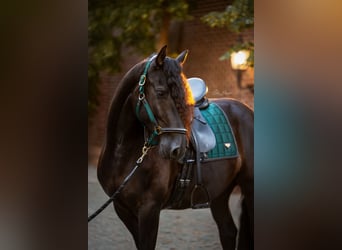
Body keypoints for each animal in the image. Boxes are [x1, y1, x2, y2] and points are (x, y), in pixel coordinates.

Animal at [97, 46, 252, 249]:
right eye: (161, 92)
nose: (178, 148)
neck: (122, 154)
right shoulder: (122, 208)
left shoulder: (149, 209)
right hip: (220, 193)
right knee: (228, 231)